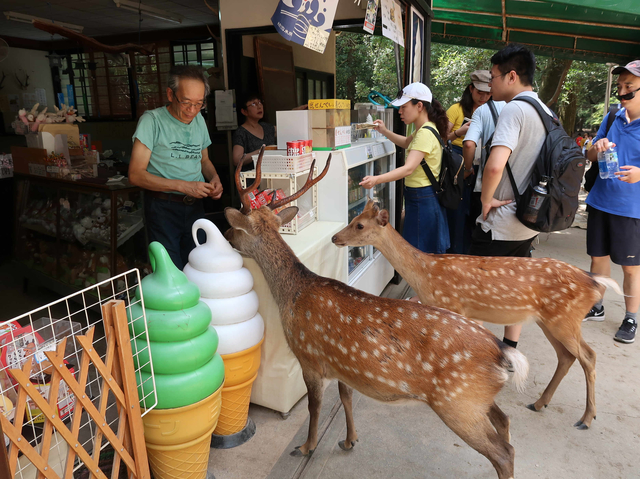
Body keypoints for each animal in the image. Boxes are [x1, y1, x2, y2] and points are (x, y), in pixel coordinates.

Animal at [225, 148, 528, 478]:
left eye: (237, 227)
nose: (225, 233)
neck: (291, 296)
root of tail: (502, 353)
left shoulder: (309, 357)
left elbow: (314, 408)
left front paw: (306, 447)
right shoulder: (342, 364)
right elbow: (346, 397)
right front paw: (349, 440)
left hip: (458, 402)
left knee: (503, 452)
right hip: (476, 400)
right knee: (505, 421)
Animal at [332, 199, 624, 432]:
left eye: (359, 225)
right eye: (352, 220)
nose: (335, 238)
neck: (425, 274)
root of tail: (594, 282)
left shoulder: (453, 306)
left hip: (564, 319)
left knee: (588, 356)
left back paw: (585, 419)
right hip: (550, 321)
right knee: (567, 356)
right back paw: (539, 403)